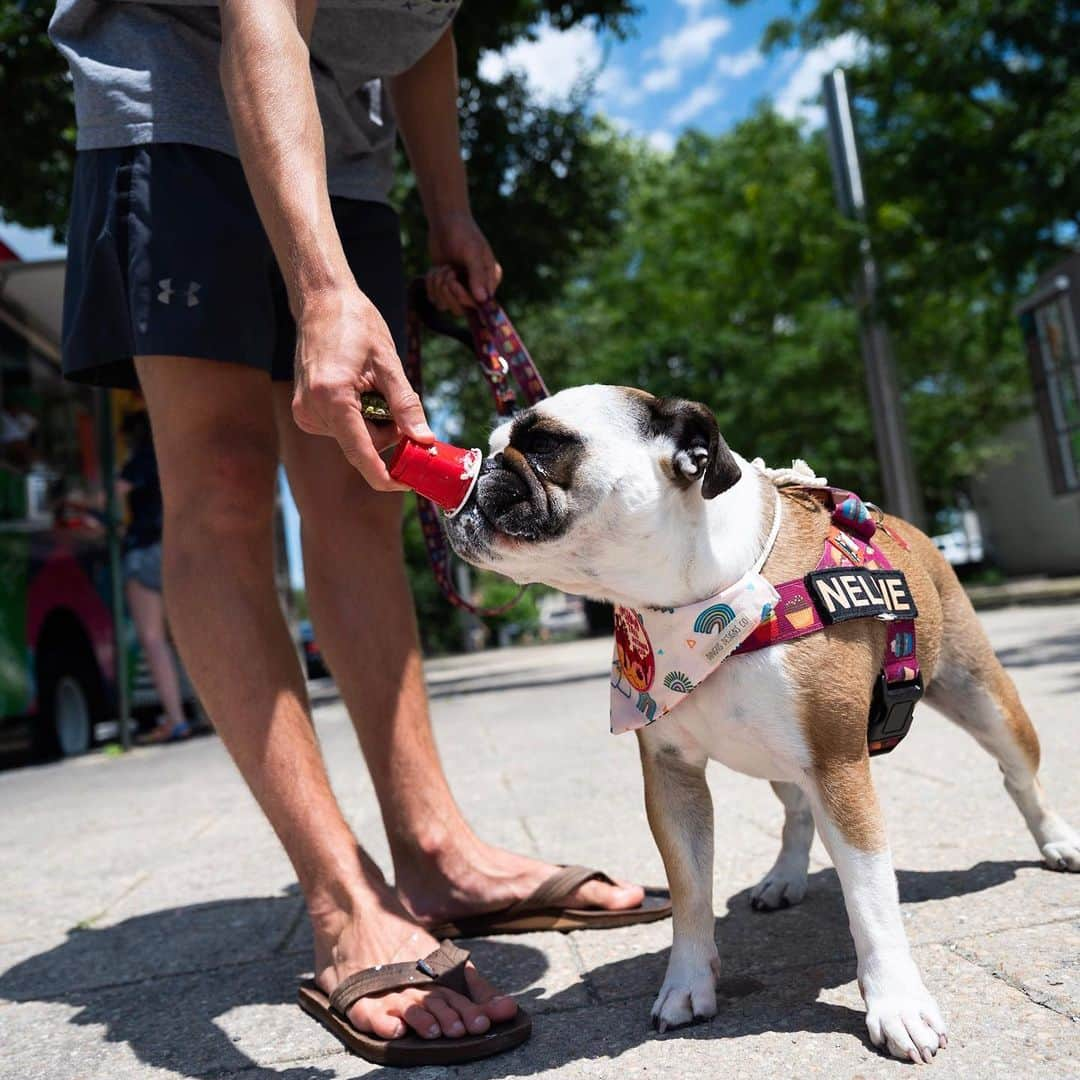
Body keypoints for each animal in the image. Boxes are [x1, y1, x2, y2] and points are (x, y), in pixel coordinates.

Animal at [440, 386, 1080, 1062]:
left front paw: (898, 1005)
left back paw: (1057, 841)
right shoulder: (673, 779)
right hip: (777, 760)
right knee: (796, 813)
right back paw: (783, 879)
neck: (703, 602)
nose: (476, 465)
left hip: (983, 698)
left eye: (543, 442)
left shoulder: (838, 765)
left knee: (1019, 777)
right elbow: (691, 891)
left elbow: (871, 900)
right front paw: (687, 984)